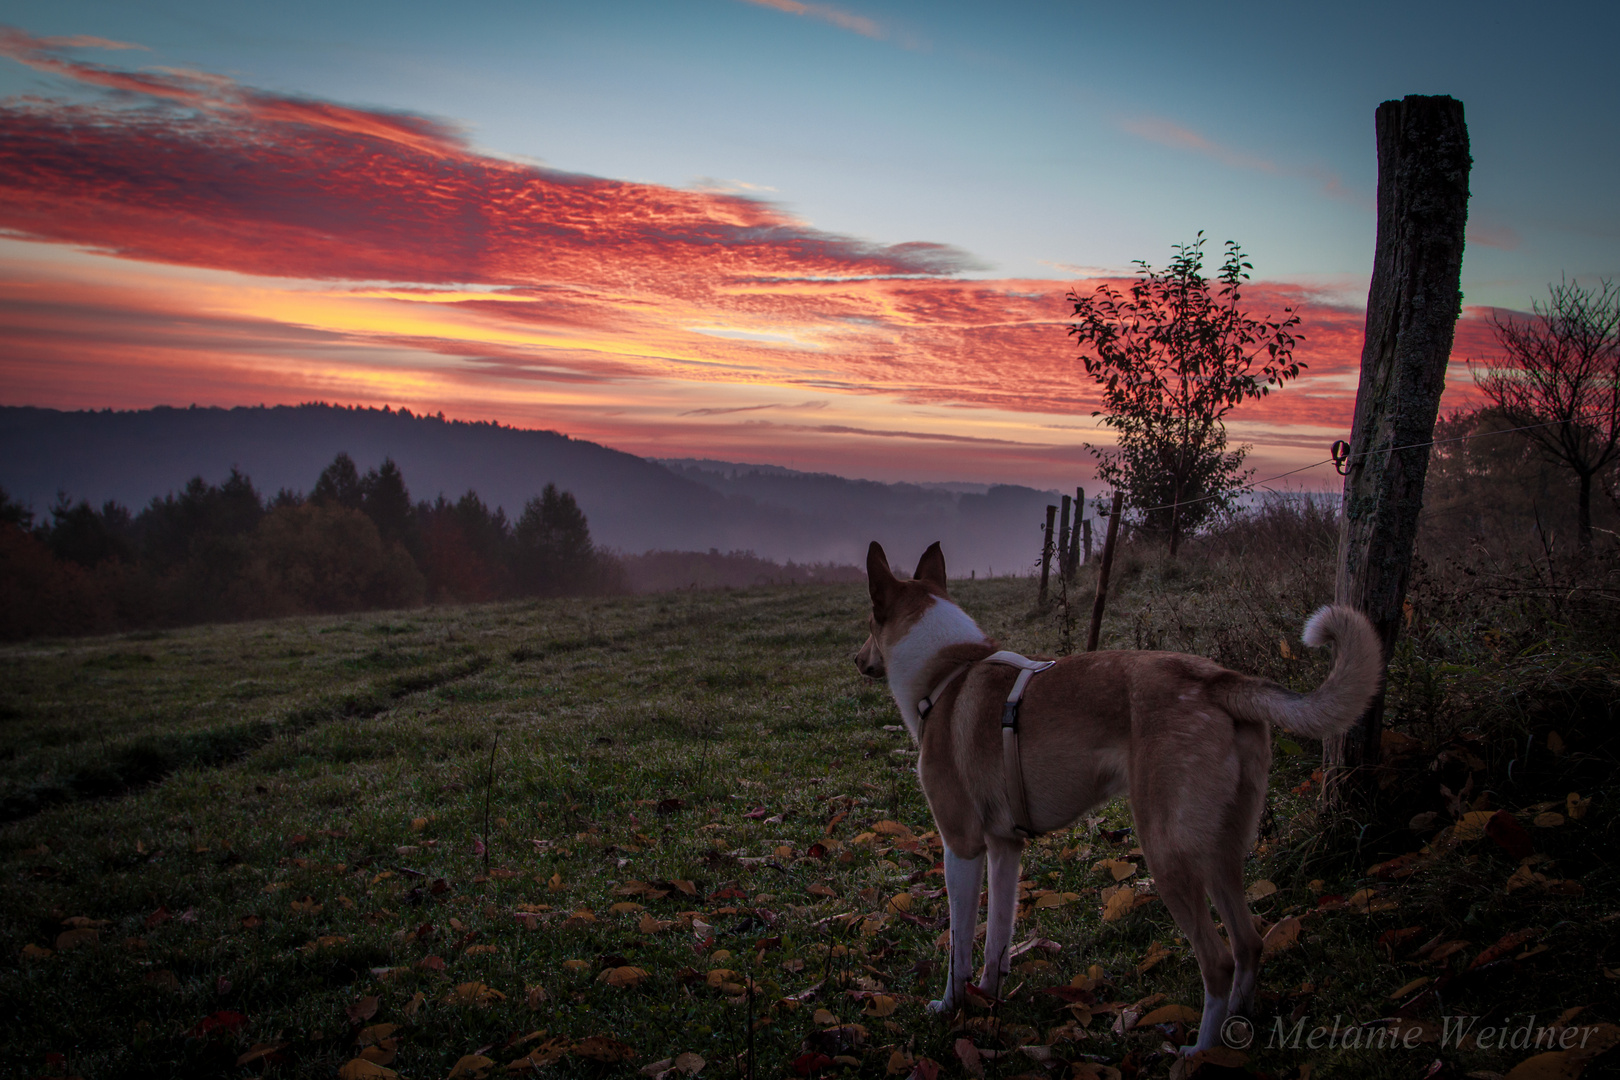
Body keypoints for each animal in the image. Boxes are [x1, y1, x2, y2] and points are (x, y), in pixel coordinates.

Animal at [855, 540, 1373, 1055]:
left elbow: (959, 942)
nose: (858, 662)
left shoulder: (961, 846)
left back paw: (1199, 1055)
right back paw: (1234, 1031)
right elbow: (997, 936)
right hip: (1220, 849)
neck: (948, 671)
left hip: (1167, 854)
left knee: (1219, 961)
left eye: (870, 623)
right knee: (1249, 943)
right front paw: (989, 997)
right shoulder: (1005, 848)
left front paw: (953, 1006)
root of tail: (1216, 679)